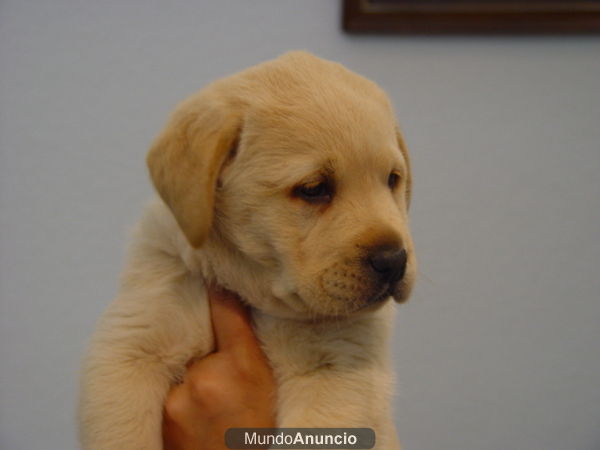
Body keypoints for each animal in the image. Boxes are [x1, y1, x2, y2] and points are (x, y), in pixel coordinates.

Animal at [79, 51, 414, 448]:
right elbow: (123, 432)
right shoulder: (131, 346)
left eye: (392, 180)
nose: (394, 261)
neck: (258, 300)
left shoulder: (339, 369)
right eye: (314, 188)